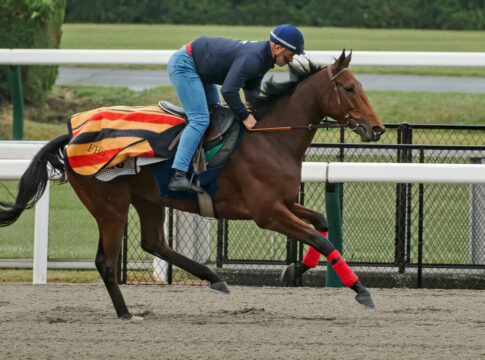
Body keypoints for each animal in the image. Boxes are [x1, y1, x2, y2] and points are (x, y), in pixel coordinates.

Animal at [1, 50, 384, 318]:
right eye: (350, 88)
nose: (377, 128)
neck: (270, 138)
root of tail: (71, 135)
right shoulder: (267, 213)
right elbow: (320, 237)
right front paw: (360, 289)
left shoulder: (284, 202)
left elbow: (321, 222)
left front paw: (294, 270)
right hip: (111, 207)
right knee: (107, 262)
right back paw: (126, 313)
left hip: (148, 199)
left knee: (154, 242)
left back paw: (213, 278)